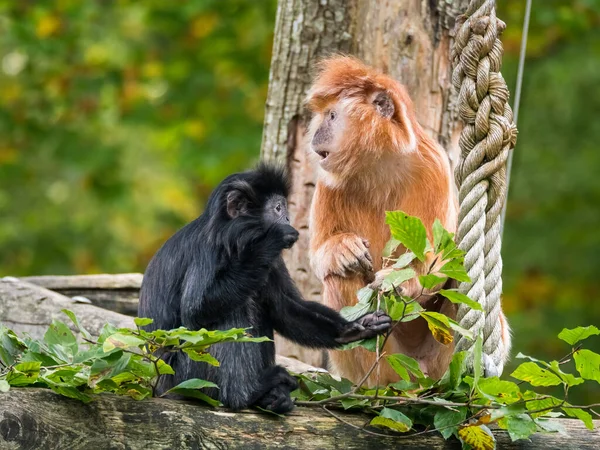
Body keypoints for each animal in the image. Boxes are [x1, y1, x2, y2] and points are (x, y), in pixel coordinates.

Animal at [138, 163, 392, 414]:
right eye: (278, 208)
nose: (288, 218)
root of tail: (157, 383)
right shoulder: (209, 249)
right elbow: (196, 310)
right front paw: (272, 238)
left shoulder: (272, 261)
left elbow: (284, 308)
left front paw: (356, 327)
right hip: (185, 376)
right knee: (229, 313)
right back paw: (249, 392)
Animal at [308, 56, 508, 384]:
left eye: (333, 116)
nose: (315, 137)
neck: (378, 164)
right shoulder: (328, 179)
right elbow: (319, 256)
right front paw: (344, 248)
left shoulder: (433, 165)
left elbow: (438, 261)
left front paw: (400, 280)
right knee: (342, 274)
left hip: (436, 359)